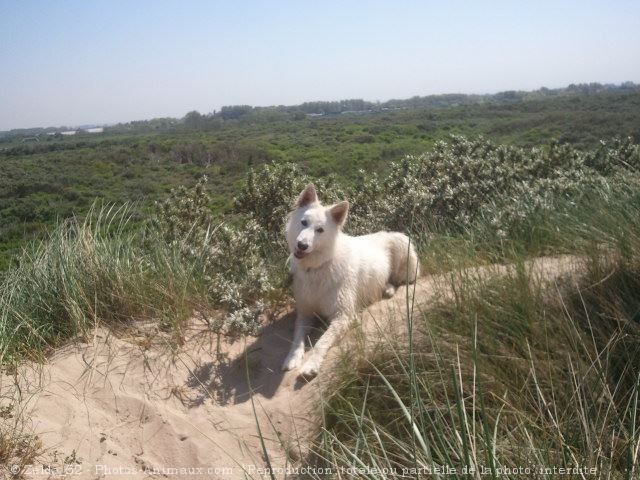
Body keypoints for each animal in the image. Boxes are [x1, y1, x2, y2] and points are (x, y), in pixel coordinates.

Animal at [284, 184, 420, 376]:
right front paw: (292, 358)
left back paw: (389, 289)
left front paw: (311, 364)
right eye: (304, 223)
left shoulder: (343, 316)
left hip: (402, 249)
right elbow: (297, 338)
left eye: (320, 230)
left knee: (403, 281)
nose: (302, 245)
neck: (319, 267)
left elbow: (322, 341)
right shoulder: (305, 313)